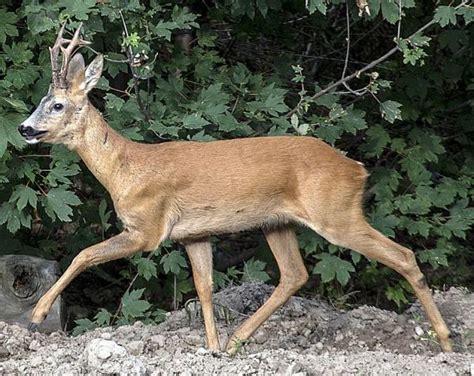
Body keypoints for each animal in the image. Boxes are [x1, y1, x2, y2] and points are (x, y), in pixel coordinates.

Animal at [18, 25, 454, 354]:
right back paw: (236, 342)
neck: (125, 168)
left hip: (336, 213)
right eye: (39, 101)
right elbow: (205, 288)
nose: (24, 128)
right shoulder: (193, 234)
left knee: (403, 255)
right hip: (278, 222)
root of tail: (357, 168)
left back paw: (446, 341)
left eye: (56, 105)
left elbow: (84, 254)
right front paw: (211, 347)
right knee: (294, 274)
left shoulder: (148, 227)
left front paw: (36, 316)